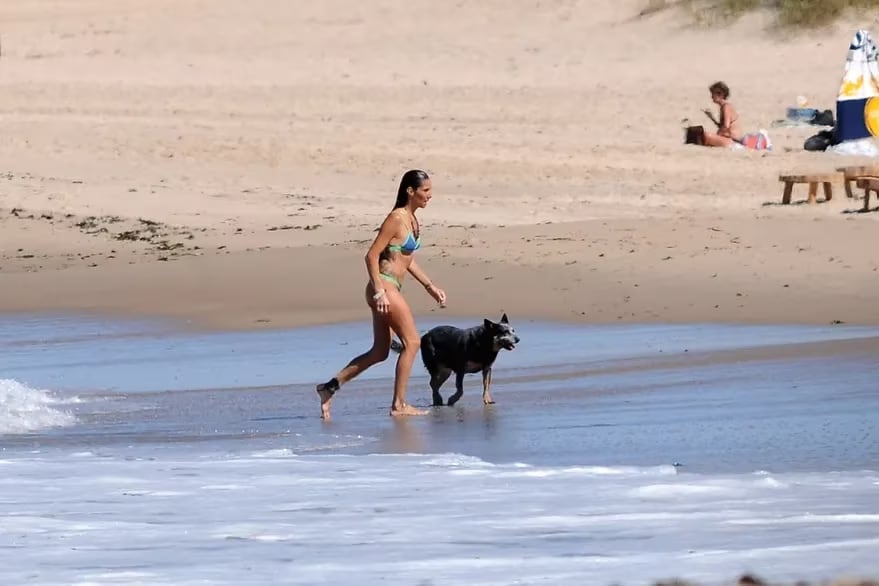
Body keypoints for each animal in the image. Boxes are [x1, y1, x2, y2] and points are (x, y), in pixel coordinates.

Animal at [390, 312, 520, 404]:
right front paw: (453, 399)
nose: (518, 339)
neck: (484, 343)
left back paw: (437, 399)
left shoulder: (487, 368)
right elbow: (460, 389)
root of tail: (423, 337)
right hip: (435, 367)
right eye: (504, 332)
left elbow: (486, 384)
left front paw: (487, 399)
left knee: (435, 384)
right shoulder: (460, 368)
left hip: (446, 371)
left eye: (513, 330)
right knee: (433, 383)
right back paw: (438, 399)